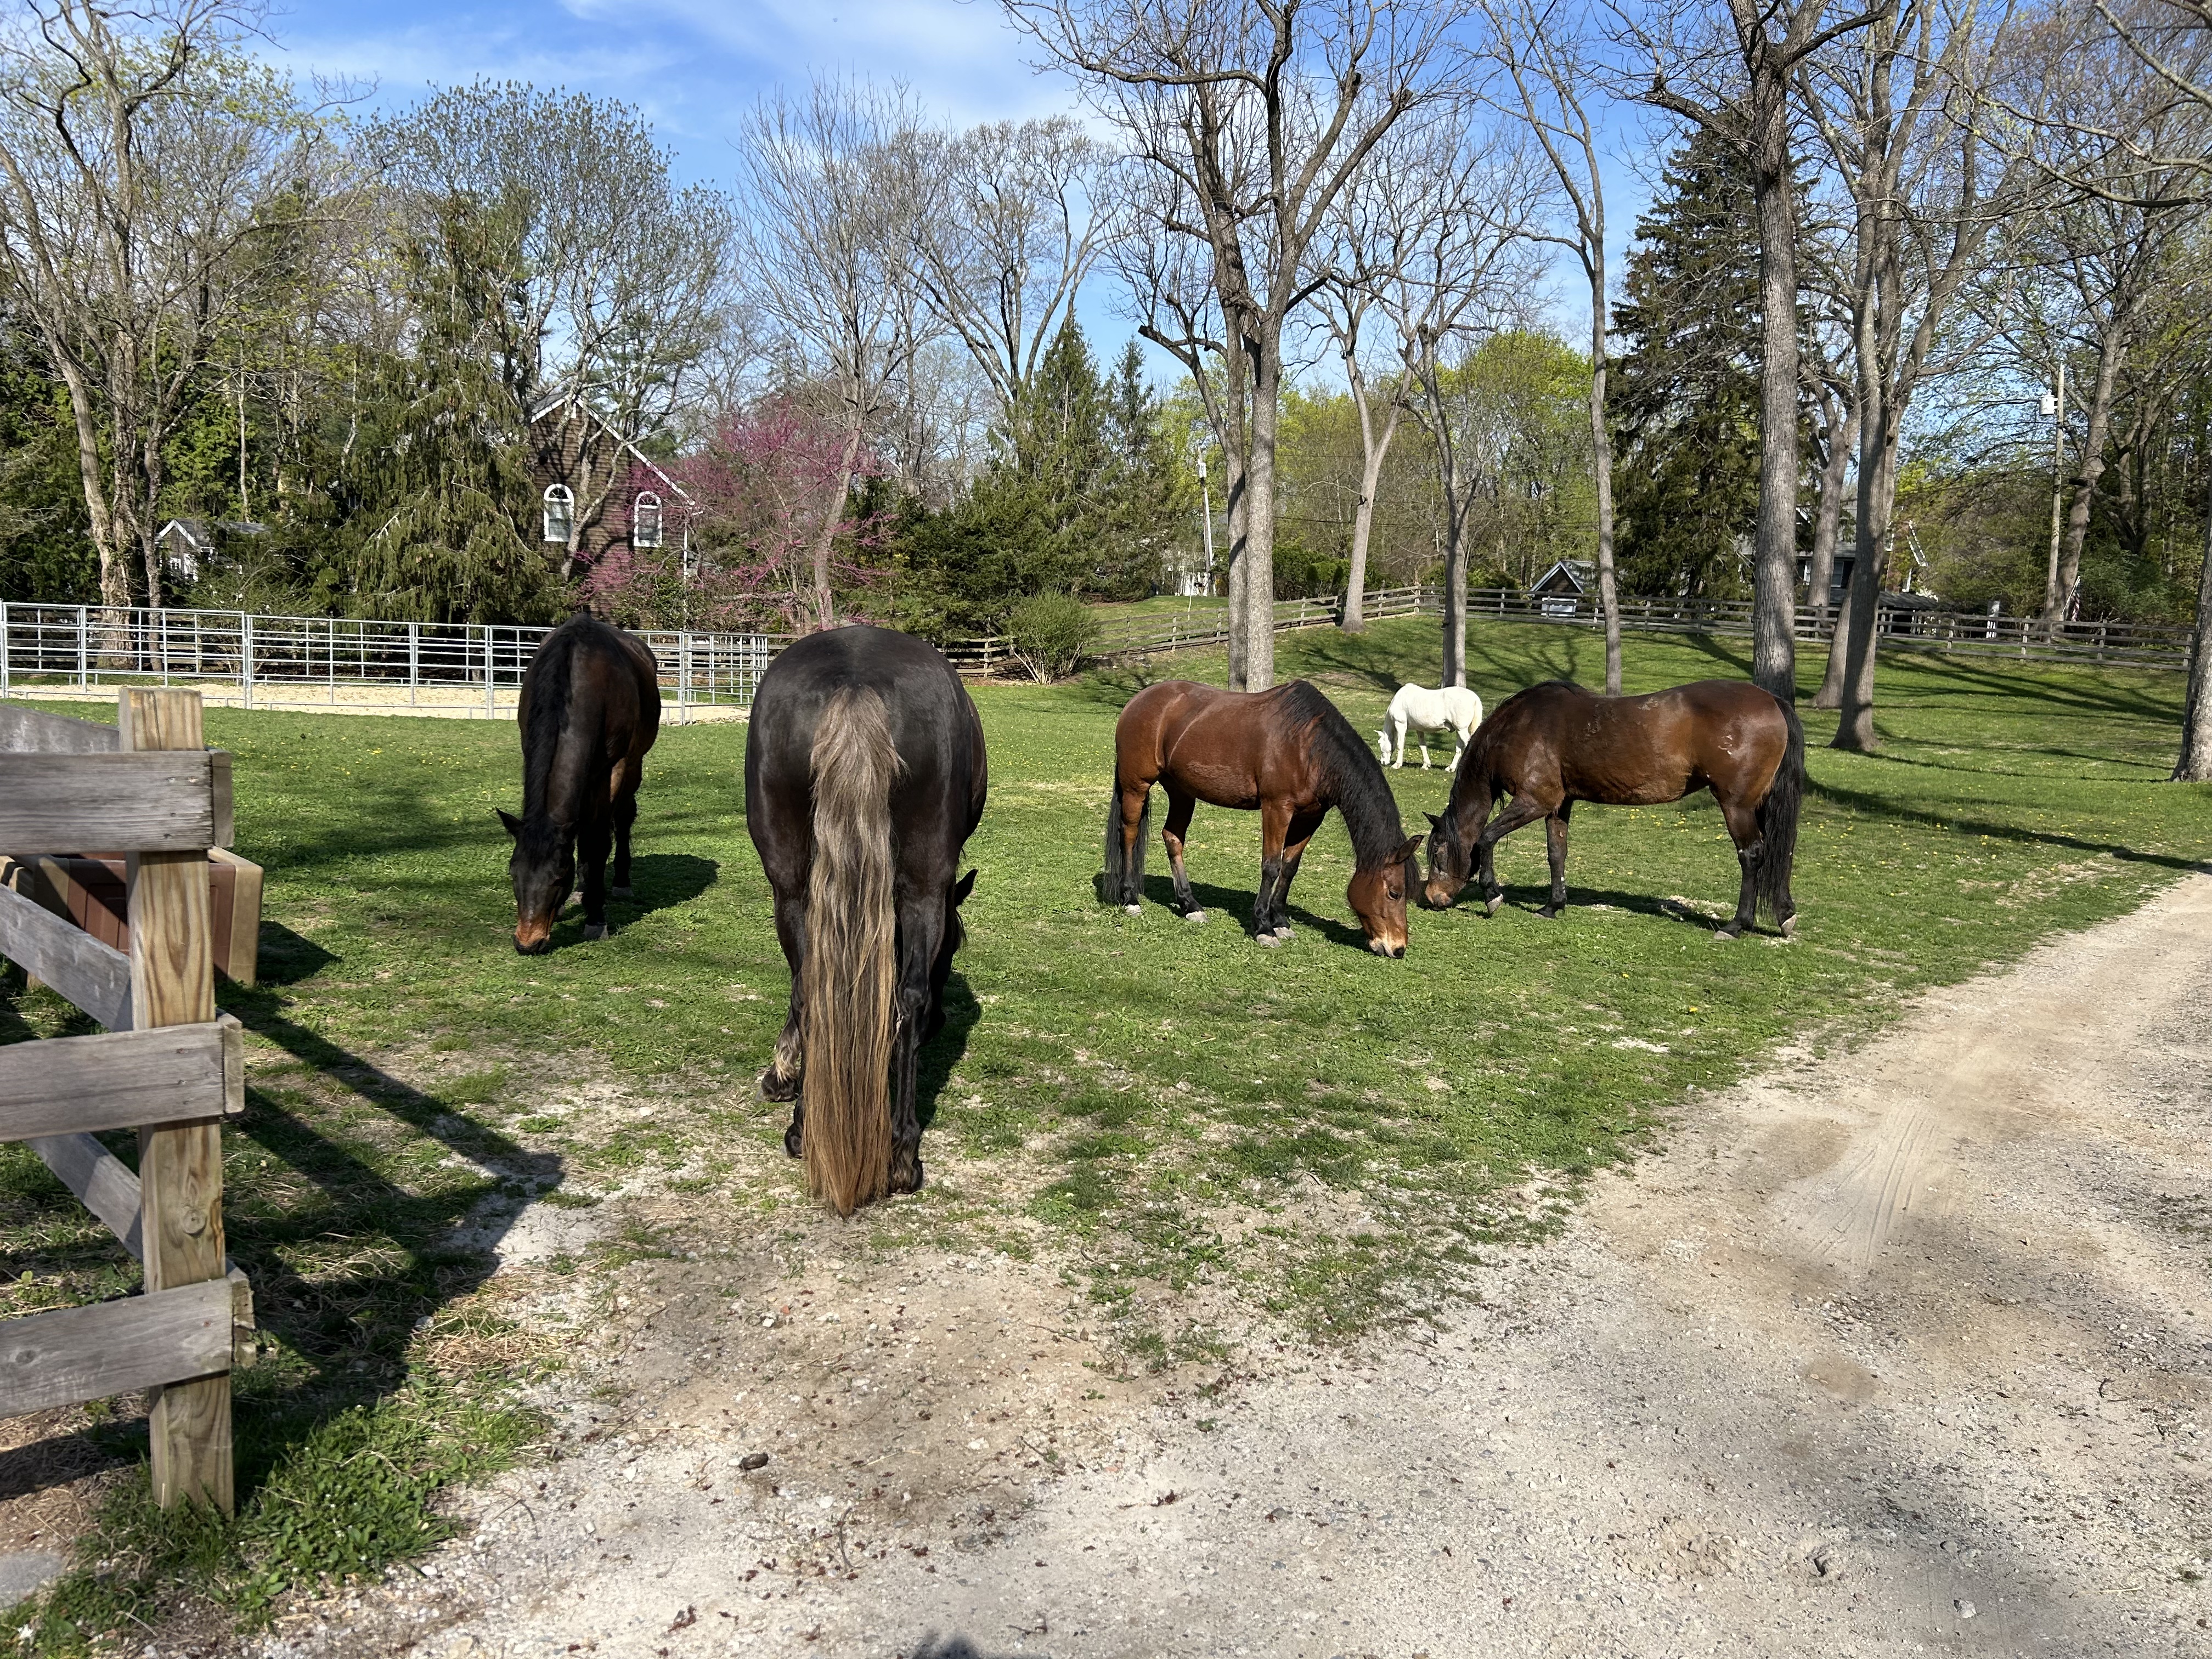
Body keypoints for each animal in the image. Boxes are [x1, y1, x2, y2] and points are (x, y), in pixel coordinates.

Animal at [500, 612, 661, 954]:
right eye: (513, 873)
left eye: (559, 877)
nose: (527, 943)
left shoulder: (615, 769)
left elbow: (598, 841)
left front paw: (596, 918)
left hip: (633, 766)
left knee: (622, 819)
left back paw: (619, 883)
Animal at [746, 626, 988, 1215]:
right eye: (955, 947)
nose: (944, 1023)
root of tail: (856, 681)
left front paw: (784, 1072)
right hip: (922, 882)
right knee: (907, 996)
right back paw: (900, 1150)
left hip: (793, 882)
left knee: (820, 988)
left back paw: (817, 1130)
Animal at [1103, 679, 1423, 956]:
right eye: (1395, 893)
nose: (1398, 948)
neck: (1309, 747)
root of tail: (1138, 700)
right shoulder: (1277, 808)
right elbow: (1271, 867)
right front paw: (1263, 928)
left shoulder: (1310, 817)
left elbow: (1289, 868)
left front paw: (1280, 921)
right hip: (1136, 787)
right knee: (1129, 834)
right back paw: (1130, 898)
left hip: (1182, 792)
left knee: (1173, 838)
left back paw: (1190, 905)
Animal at [1379, 682, 1484, 770]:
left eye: (1380, 743)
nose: (1382, 762)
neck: (1399, 699)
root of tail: (1475, 698)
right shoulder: (1419, 729)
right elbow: (1423, 746)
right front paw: (1426, 765)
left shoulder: (1400, 724)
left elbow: (1400, 745)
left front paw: (1397, 765)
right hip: (1459, 730)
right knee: (1459, 748)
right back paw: (1450, 768)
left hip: (1462, 730)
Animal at [1419, 679, 1804, 941]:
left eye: (1437, 852)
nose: (1432, 898)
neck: (1518, 727)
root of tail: (1771, 700)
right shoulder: (1559, 805)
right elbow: (1556, 853)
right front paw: (1553, 906)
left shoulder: (1534, 802)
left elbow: (1486, 839)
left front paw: (1492, 896)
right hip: (1759, 805)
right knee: (1779, 851)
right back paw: (1784, 915)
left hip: (1736, 805)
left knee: (1752, 854)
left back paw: (1737, 925)